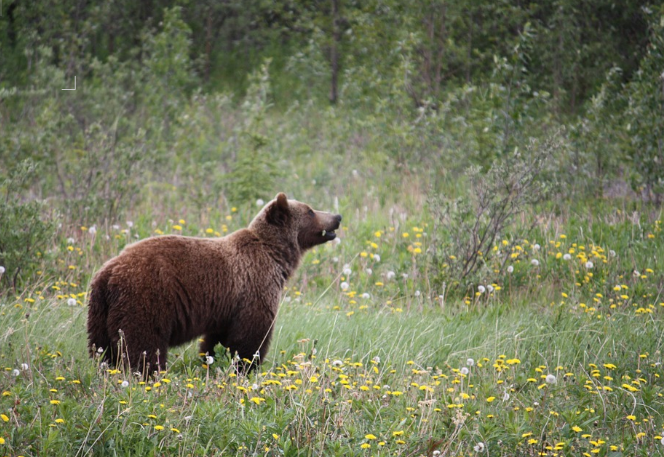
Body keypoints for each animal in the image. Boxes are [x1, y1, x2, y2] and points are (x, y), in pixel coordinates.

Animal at [87, 193, 341, 376]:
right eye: (310, 211)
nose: (337, 217)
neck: (276, 256)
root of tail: (109, 272)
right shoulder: (255, 286)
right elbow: (251, 336)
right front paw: (246, 367)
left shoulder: (226, 305)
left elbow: (217, 339)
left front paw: (211, 361)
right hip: (145, 298)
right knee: (143, 344)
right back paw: (148, 374)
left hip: (100, 311)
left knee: (102, 349)